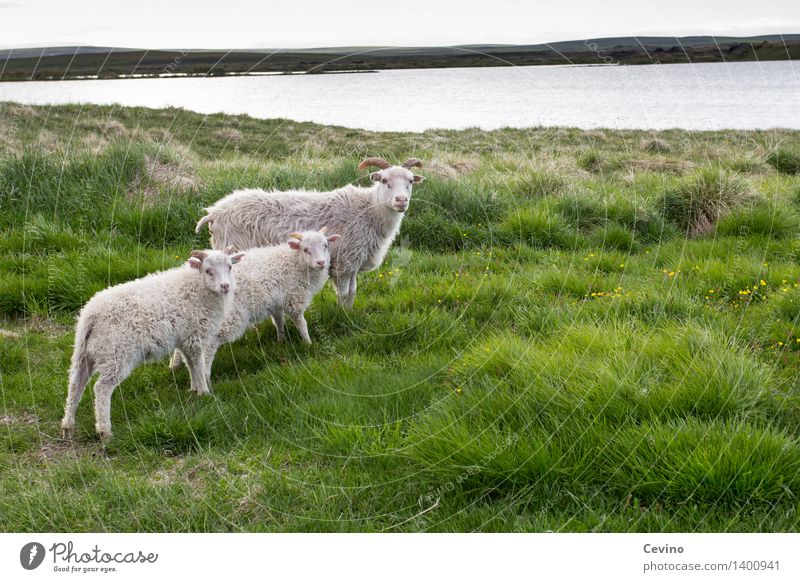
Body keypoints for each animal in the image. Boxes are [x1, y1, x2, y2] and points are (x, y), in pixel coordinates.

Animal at [61, 248, 244, 442]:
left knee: (75, 384)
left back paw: (68, 426)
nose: (225, 286)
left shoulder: (185, 339)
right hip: (116, 354)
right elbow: (199, 366)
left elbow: (191, 365)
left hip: (85, 352)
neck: (196, 287)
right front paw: (204, 392)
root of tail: (90, 316)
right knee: (101, 388)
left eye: (230, 267)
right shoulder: (195, 336)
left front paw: (194, 390)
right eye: (208, 271)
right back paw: (105, 431)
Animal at [170, 228, 340, 378]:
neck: (294, 262)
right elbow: (301, 323)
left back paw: (174, 366)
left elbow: (279, 322)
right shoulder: (295, 299)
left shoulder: (276, 303)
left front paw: (281, 341)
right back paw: (205, 376)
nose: (321, 262)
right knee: (210, 347)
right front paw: (308, 343)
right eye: (305, 249)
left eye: (325, 245)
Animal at [194, 155, 424, 310]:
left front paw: (349, 313)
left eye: (410, 181)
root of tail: (214, 212)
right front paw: (341, 315)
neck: (369, 210)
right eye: (384, 181)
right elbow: (343, 293)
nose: (401, 200)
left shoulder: (352, 262)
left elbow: (352, 292)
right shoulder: (343, 262)